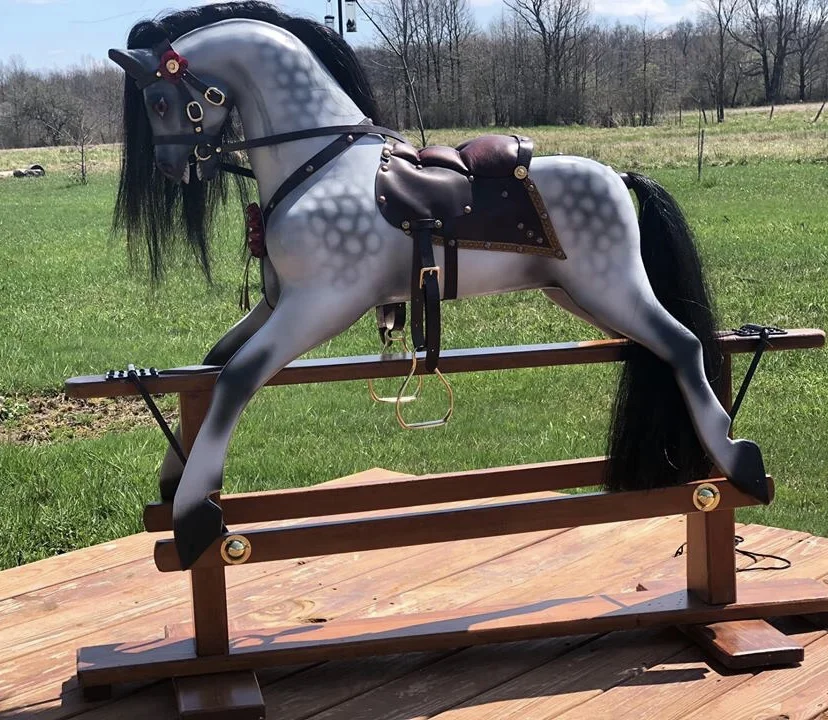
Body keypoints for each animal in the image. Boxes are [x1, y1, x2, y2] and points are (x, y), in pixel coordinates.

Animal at [108, 1, 769, 570]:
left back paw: (740, 463)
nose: (171, 167)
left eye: (161, 99)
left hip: (613, 287)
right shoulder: (278, 304)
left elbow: (236, 380)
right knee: (662, 350)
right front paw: (173, 476)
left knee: (683, 345)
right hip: (581, 294)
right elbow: (213, 363)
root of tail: (616, 175)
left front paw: (194, 513)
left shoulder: (321, 305)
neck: (318, 162)